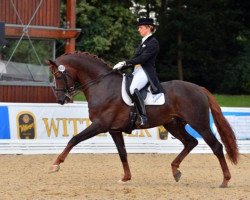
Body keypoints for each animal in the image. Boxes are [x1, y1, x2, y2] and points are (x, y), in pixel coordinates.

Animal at [48, 51, 238, 188]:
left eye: (58, 76)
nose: (61, 99)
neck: (102, 85)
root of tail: (199, 88)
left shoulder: (100, 125)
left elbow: (74, 139)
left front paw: (55, 165)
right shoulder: (114, 129)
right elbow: (122, 153)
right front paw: (126, 178)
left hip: (199, 124)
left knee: (216, 146)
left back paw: (225, 180)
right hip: (172, 124)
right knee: (190, 142)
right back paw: (175, 171)